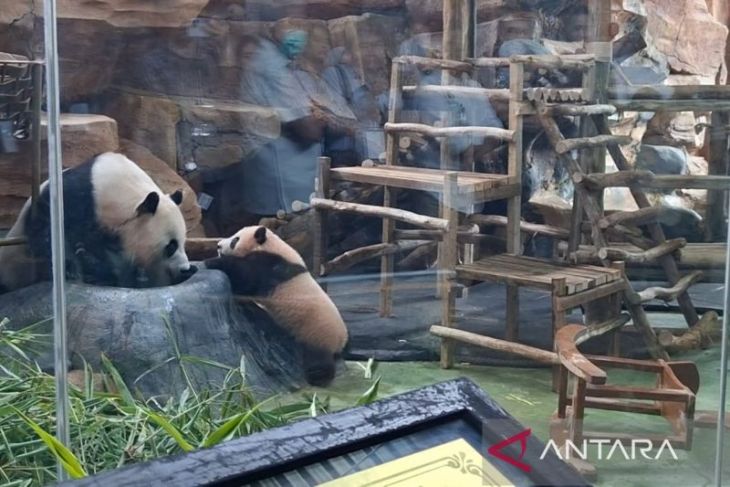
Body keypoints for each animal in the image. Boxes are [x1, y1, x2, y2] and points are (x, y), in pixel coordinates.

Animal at [0, 152, 195, 292]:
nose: (184, 269)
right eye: (171, 246)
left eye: (184, 243)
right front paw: (79, 270)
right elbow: (46, 235)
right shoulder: (73, 199)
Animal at [204, 225, 348, 386]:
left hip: (317, 333)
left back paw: (318, 377)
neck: (272, 246)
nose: (218, 245)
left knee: (318, 359)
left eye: (235, 239)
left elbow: (246, 277)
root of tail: (341, 341)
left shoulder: (271, 265)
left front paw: (211, 262)